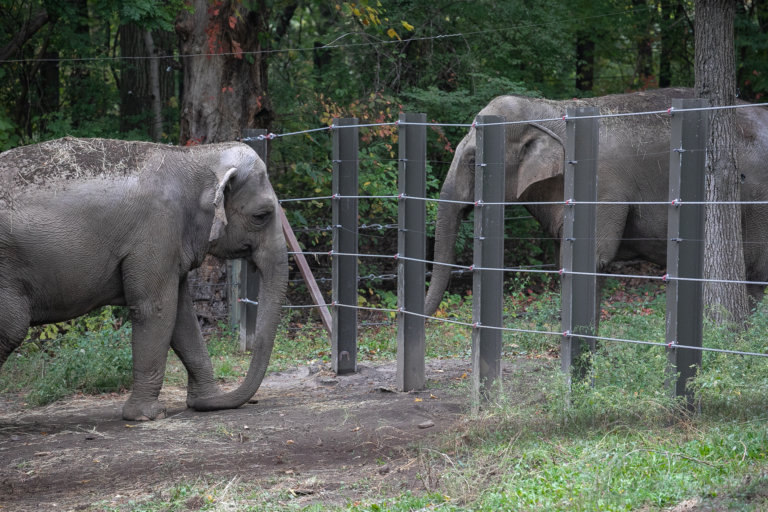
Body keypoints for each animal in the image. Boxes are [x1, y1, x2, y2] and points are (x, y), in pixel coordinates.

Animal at [0, 137, 286, 420]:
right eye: (261, 216)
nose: (251, 401)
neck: (195, 157)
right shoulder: (156, 231)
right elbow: (156, 309)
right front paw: (148, 415)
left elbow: (182, 316)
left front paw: (207, 401)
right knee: (13, 328)